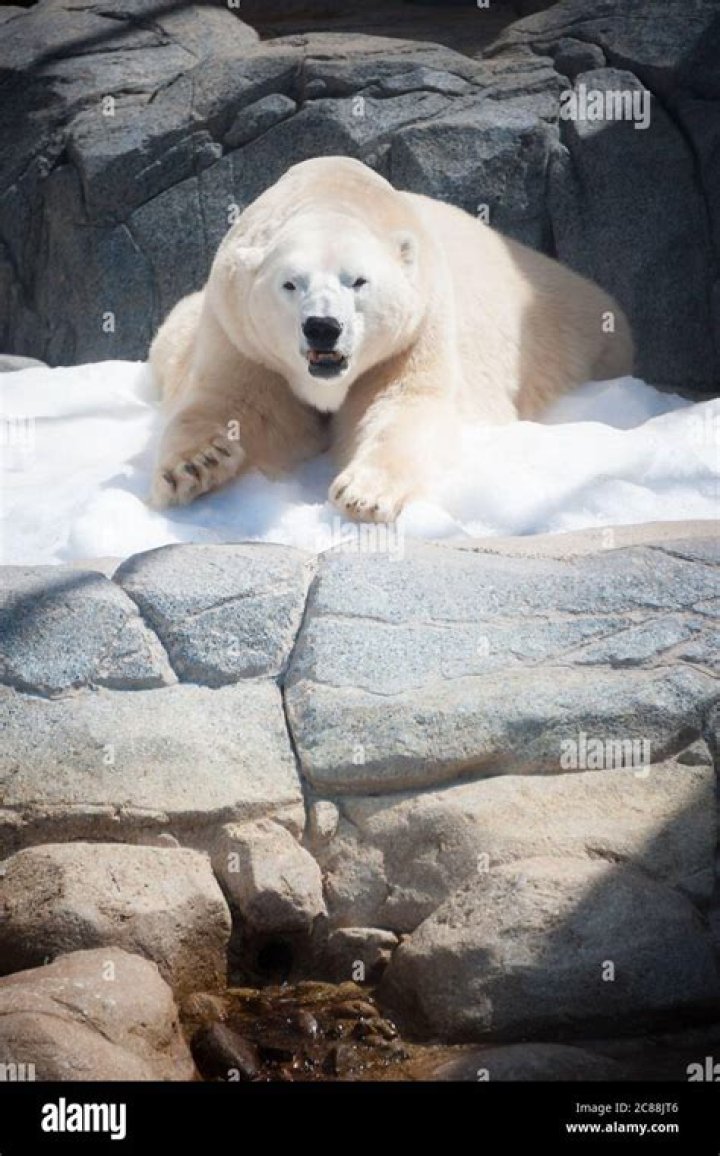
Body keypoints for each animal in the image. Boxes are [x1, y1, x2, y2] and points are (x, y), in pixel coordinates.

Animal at [149, 156, 633, 522]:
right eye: (290, 283)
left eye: (357, 280)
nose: (323, 326)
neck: (329, 191)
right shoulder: (240, 335)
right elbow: (234, 403)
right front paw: (197, 464)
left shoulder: (418, 327)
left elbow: (404, 405)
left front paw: (364, 494)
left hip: (573, 331)